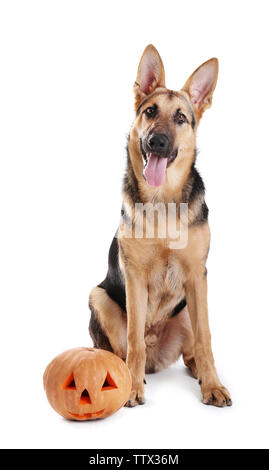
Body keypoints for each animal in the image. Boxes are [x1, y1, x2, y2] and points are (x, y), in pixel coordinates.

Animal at [88, 44, 230, 408]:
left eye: (180, 117)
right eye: (150, 111)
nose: (157, 142)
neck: (163, 199)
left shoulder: (197, 276)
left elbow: (207, 340)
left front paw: (213, 384)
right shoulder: (135, 276)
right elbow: (134, 339)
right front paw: (131, 389)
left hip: (190, 308)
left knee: (194, 349)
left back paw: (199, 373)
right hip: (99, 296)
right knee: (123, 349)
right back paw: (125, 373)